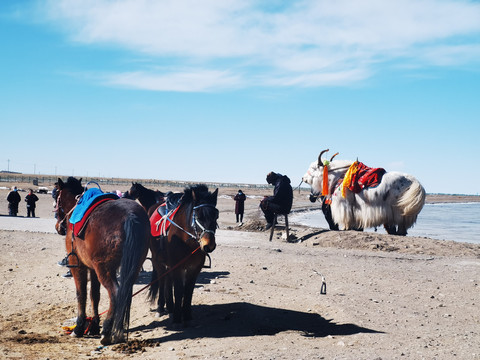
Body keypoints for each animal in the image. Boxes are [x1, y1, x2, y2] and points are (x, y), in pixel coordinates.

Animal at [54, 176, 150, 344]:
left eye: (56, 196)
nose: (58, 227)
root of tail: (131, 216)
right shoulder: (93, 269)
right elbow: (95, 295)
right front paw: (93, 326)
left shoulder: (77, 265)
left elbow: (81, 294)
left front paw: (79, 327)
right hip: (130, 267)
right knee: (124, 293)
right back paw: (116, 330)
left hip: (104, 269)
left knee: (116, 293)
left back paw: (106, 331)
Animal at [149, 184, 218, 324]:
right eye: (198, 216)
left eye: (216, 217)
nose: (209, 245)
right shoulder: (178, 267)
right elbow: (179, 290)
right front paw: (177, 317)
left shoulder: (194, 269)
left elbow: (188, 291)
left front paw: (186, 315)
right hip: (157, 261)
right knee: (163, 280)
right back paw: (161, 308)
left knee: (168, 281)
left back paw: (170, 306)